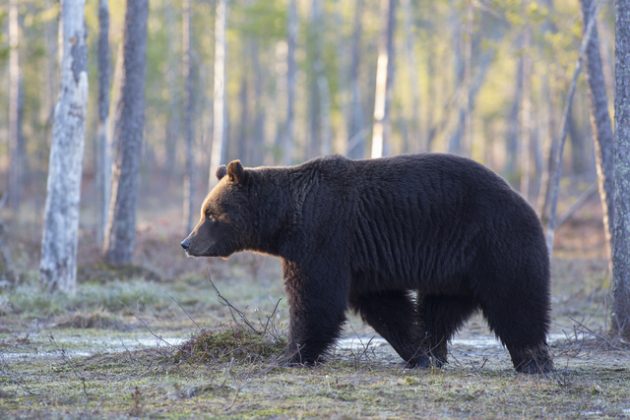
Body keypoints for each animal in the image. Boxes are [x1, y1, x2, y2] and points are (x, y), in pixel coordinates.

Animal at [181, 154, 552, 374]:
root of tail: (522, 199)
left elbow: (315, 300)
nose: (187, 243)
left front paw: (290, 355)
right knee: (439, 310)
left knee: (516, 301)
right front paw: (416, 354)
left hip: (494, 242)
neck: (285, 221)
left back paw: (534, 360)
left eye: (209, 214)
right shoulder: (361, 261)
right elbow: (385, 307)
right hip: (454, 268)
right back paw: (436, 352)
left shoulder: (323, 237)